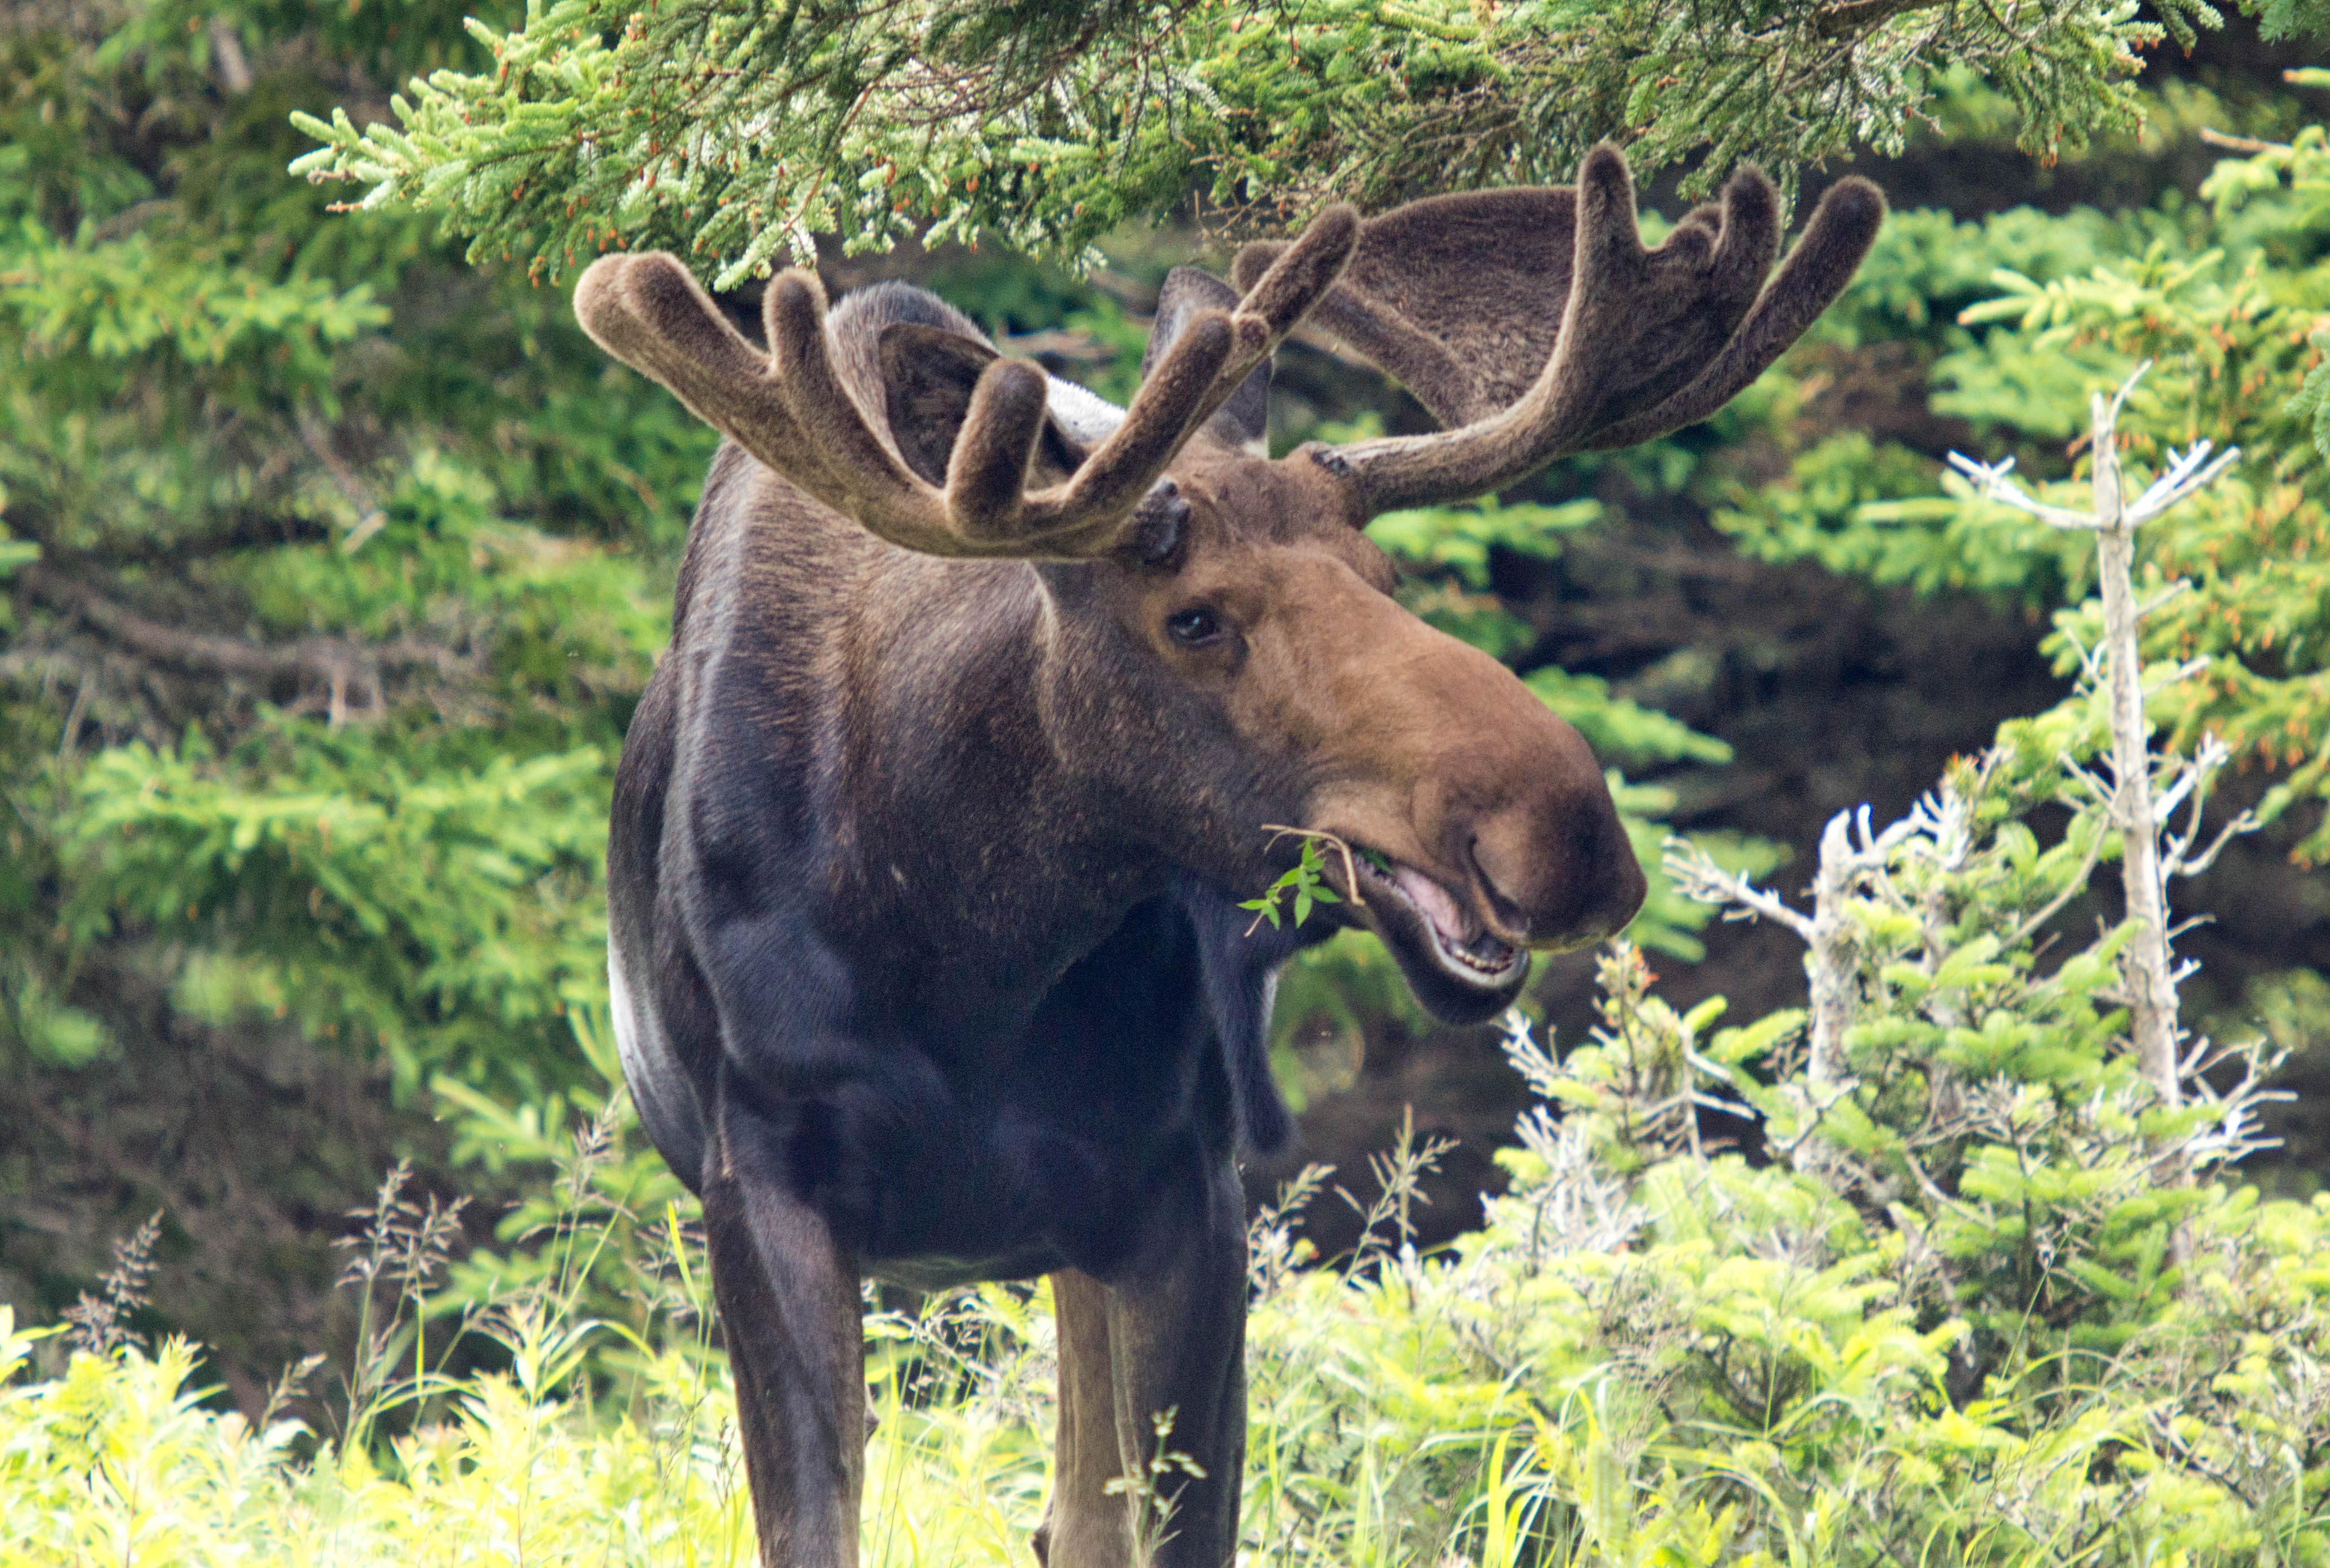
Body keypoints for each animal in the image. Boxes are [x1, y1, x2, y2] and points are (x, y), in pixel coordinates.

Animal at [577, 150, 1873, 1565]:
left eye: (1383, 575)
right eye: (1191, 618)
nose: (1566, 832)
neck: (955, 947)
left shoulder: (1178, 1189)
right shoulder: (762, 1189)